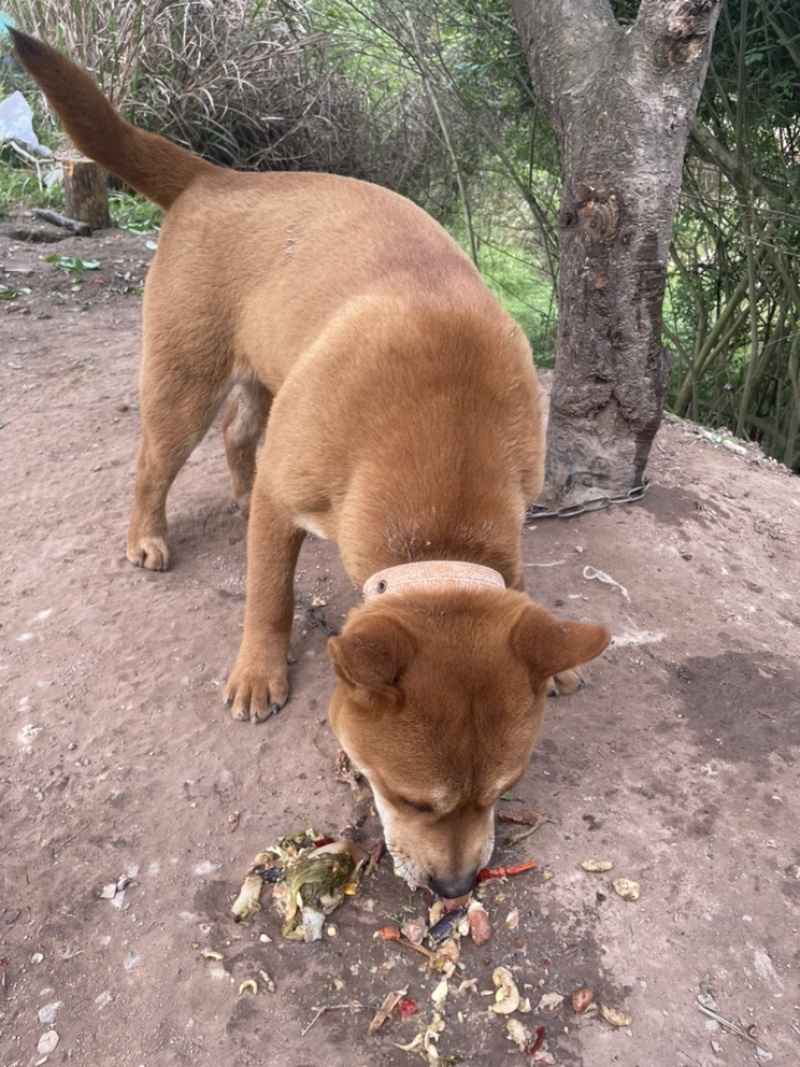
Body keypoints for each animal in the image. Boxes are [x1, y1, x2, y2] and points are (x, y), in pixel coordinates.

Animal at [14, 31, 614, 900]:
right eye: (408, 796)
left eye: (504, 789)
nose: (455, 888)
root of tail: (218, 177)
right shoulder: (288, 496)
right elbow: (270, 592)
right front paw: (260, 671)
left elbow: (519, 588)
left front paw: (551, 650)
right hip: (183, 384)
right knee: (155, 462)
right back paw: (147, 536)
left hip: (267, 377)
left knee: (239, 437)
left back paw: (230, 493)